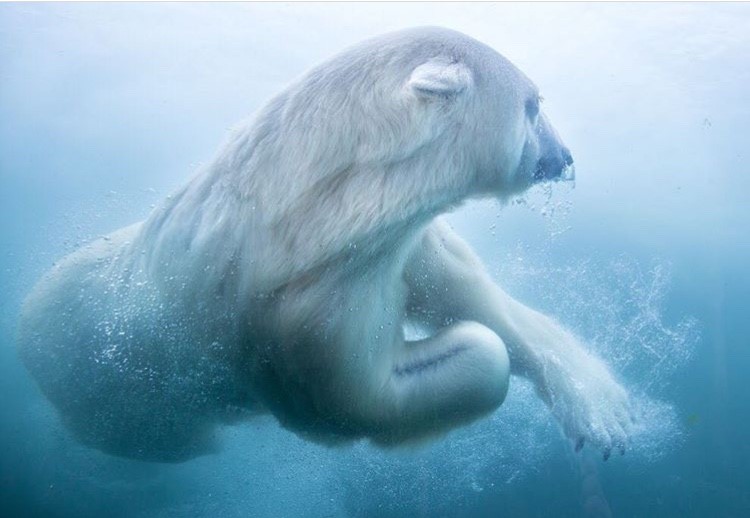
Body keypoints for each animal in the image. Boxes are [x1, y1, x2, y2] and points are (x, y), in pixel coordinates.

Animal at [19, 27, 636, 464]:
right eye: (533, 104)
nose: (565, 157)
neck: (313, 207)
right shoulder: (296, 321)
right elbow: (361, 401)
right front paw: (470, 348)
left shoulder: (393, 247)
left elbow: (472, 294)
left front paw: (605, 410)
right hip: (104, 391)